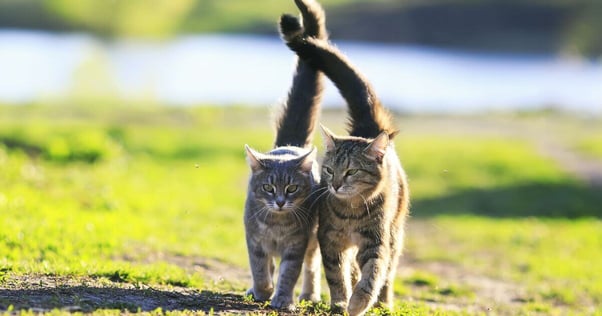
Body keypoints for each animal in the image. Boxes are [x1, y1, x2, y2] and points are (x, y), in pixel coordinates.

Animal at [241, 0, 326, 312]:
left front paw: (282, 299)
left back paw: (309, 295)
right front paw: (262, 290)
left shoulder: (296, 245)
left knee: (312, 266)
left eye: (291, 188)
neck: (277, 225)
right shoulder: (254, 241)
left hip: (314, 240)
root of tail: (292, 144)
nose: (279, 201)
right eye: (268, 187)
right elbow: (260, 268)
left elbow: (290, 273)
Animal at [278, 10, 410, 316]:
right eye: (329, 170)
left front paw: (359, 301)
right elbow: (337, 275)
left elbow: (373, 273)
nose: (336, 185)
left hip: (395, 233)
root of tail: (369, 128)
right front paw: (340, 301)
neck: (351, 213)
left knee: (389, 272)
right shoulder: (330, 240)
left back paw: (383, 303)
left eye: (351, 171)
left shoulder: (376, 242)